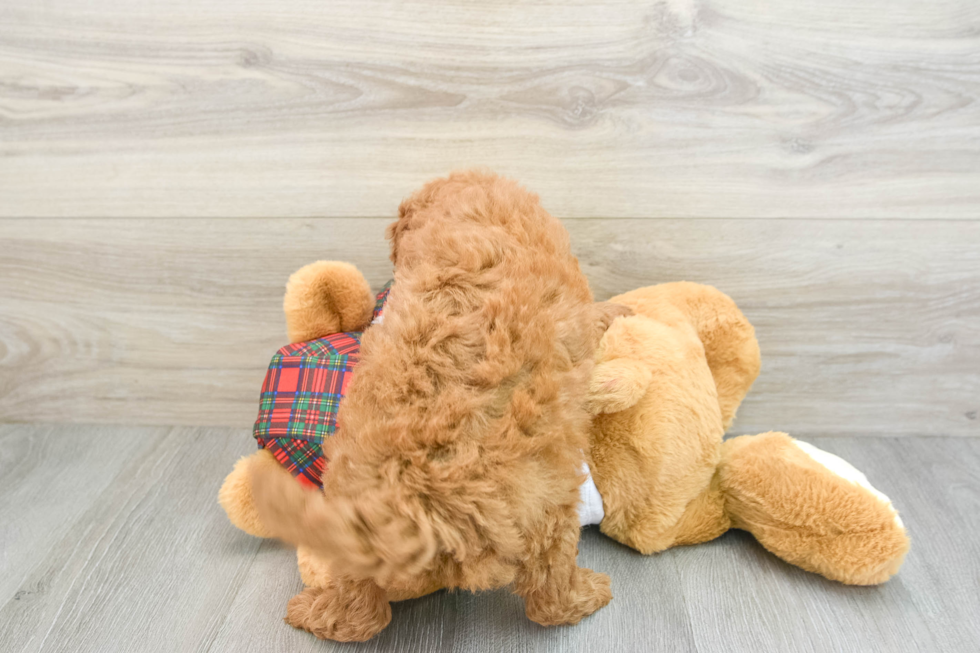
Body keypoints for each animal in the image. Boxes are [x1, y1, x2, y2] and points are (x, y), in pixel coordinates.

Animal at [253, 169, 628, 640]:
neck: (473, 210)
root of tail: (422, 504)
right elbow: (594, 317)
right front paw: (616, 310)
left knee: (360, 612)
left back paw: (313, 611)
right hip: (551, 505)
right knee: (550, 592)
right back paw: (590, 594)